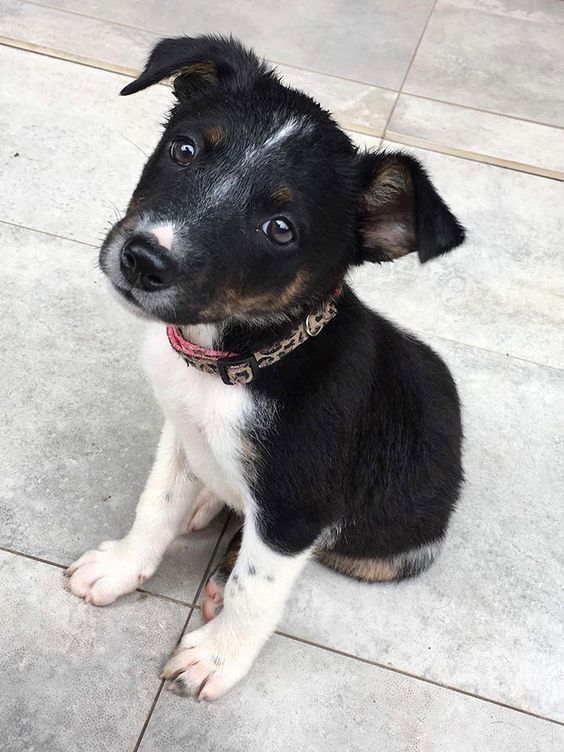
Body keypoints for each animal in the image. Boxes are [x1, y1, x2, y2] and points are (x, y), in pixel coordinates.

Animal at [66, 38, 464, 704]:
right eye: (184, 149)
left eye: (280, 229)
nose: (143, 259)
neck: (234, 362)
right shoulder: (179, 428)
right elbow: (156, 504)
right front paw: (122, 567)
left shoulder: (297, 505)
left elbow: (256, 587)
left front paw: (217, 656)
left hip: (393, 549)